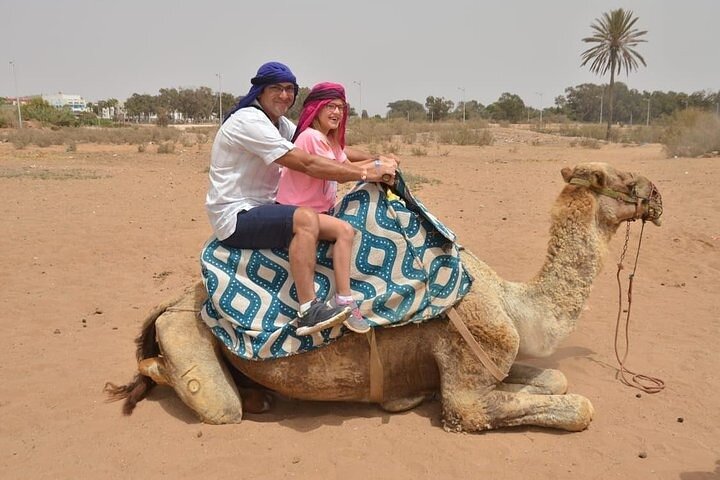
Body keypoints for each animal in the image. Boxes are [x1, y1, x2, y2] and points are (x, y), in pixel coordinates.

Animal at [106, 162, 662, 433]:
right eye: (616, 179)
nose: (657, 195)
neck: (513, 304)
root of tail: (171, 302)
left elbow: (555, 377)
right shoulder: (467, 387)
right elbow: (577, 407)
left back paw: (260, 397)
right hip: (184, 333)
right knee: (212, 402)